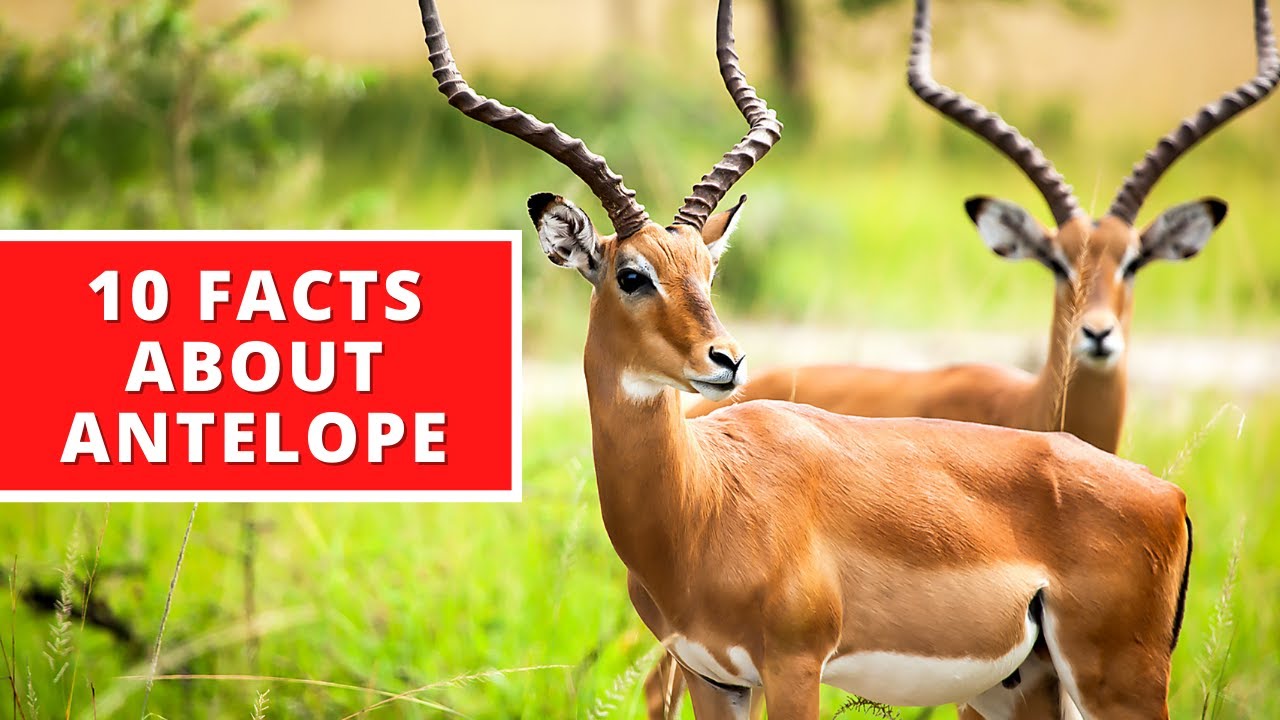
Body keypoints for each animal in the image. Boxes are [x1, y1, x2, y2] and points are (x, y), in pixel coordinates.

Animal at [417, 1, 1194, 718]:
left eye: (708, 270)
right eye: (632, 275)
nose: (726, 360)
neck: (704, 500)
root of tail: (1169, 496)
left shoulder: (794, 667)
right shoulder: (714, 675)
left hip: (1115, 683)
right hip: (1021, 687)